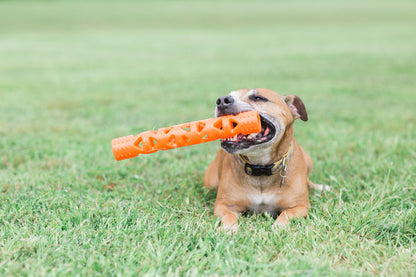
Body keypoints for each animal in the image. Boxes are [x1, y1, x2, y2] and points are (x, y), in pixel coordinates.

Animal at [204, 87, 324, 230]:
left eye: (259, 98)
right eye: (229, 95)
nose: (222, 100)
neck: (260, 166)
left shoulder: (300, 206)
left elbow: (286, 215)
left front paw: (278, 228)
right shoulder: (224, 205)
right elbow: (228, 216)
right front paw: (228, 229)